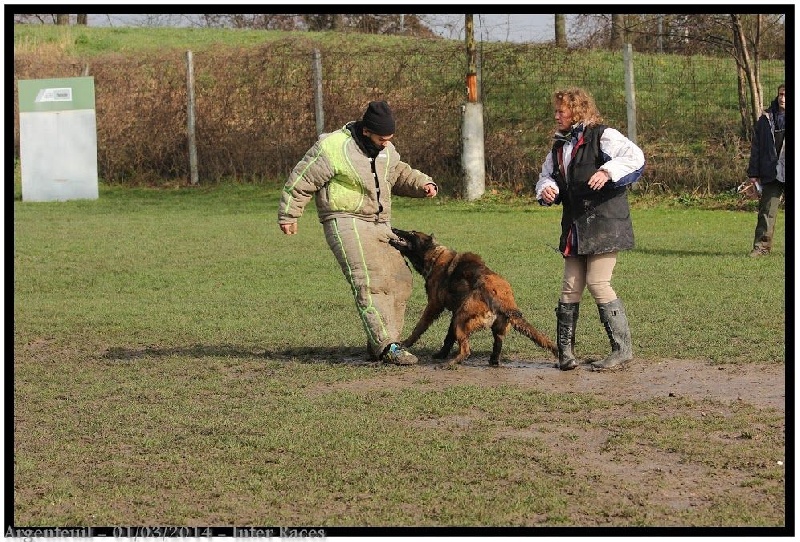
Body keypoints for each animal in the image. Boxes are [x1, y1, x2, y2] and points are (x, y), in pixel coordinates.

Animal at [390, 230, 556, 370]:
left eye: (412, 233)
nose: (394, 229)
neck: (435, 256)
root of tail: (502, 300)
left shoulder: (434, 305)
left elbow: (419, 327)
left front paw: (405, 343)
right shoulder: (454, 312)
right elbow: (448, 337)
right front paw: (441, 354)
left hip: (461, 319)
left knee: (466, 350)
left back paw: (451, 363)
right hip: (486, 325)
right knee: (497, 346)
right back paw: (492, 362)